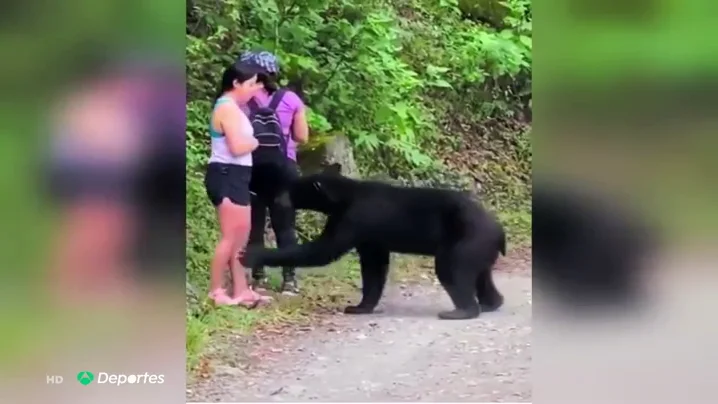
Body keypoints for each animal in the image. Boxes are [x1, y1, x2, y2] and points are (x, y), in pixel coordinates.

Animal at [241, 163, 507, 320]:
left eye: (292, 188)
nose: (277, 199)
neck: (344, 197)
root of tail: (499, 231)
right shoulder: (370, 236)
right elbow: (373, 267)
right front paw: (360, 307)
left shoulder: (354, 218)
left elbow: (324, 250)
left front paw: (252, 253)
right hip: (479, 248)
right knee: (481, 275)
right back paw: (492, 303)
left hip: (466, 241)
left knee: (452, 270)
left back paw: (461, 310)